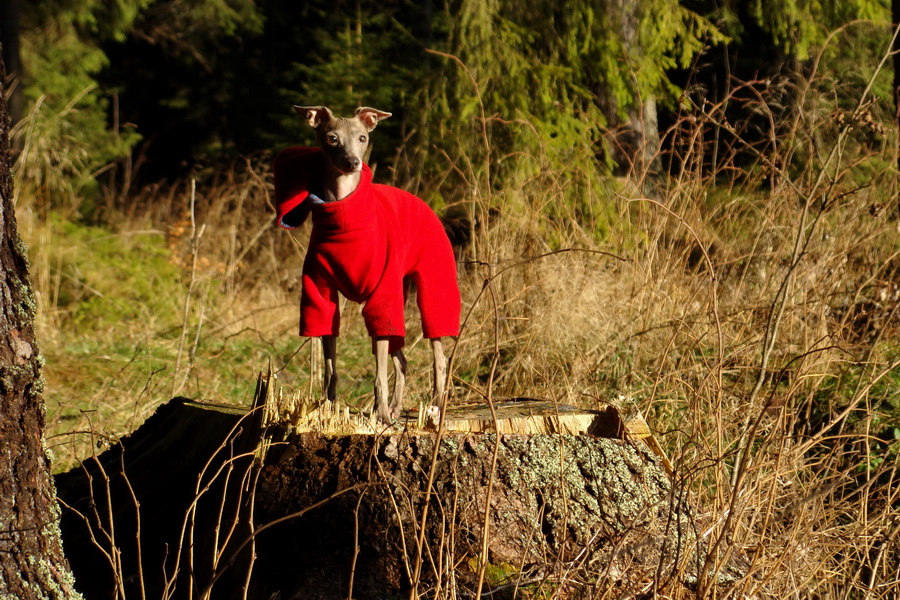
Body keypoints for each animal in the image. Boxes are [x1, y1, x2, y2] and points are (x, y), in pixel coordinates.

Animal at [274, 109, 460, 426]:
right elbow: (331, 363)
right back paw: (396, 407)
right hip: (400, 292)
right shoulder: (322, 293)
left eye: (362, 138)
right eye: (331, 138)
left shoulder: (381, 297)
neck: (343, 213)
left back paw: (433, 408)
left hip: (432, 282)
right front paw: (328, 405)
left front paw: (381, 412)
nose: (352, 163)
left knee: (439, 357)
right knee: (402, 360)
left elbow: (379, 373)